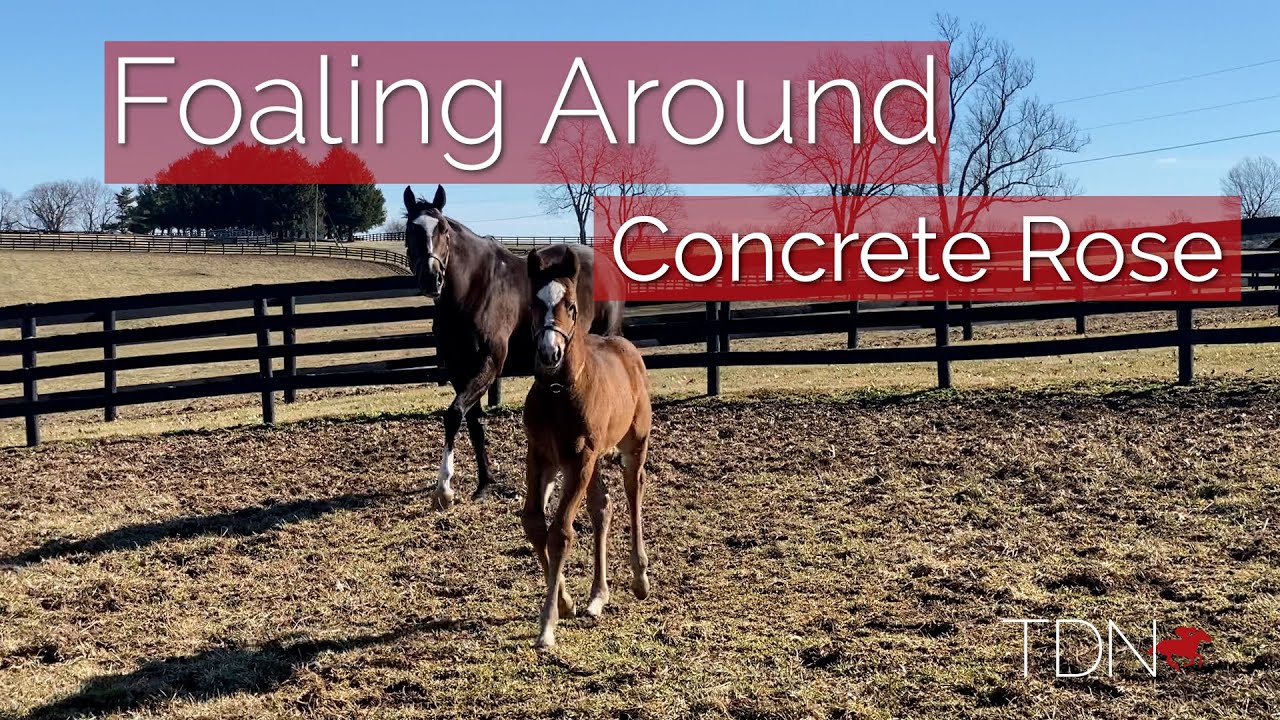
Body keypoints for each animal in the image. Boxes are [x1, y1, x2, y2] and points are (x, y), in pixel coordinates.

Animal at [402, 185, 624, 509]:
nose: (432, 277)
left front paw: (444, 488)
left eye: (442, 229)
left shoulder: (490, 363)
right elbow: (473, 423)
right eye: (411, 230)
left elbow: (453, 414)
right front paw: (483, 483)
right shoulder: (459, 369)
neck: (473, 288)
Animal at [520, 245, 653, 649]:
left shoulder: (579, 459)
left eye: (572, 306)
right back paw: (597, 597)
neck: (558, 393)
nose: (549, 353)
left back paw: (640, 579)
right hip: (592, 463)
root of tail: (623, 346)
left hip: (632, 445)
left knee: (634, 491)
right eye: (533, 303)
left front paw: (547, 625)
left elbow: (561, 532)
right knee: (602, 508)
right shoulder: (541, 456)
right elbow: (534, 524)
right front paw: (566, 603)